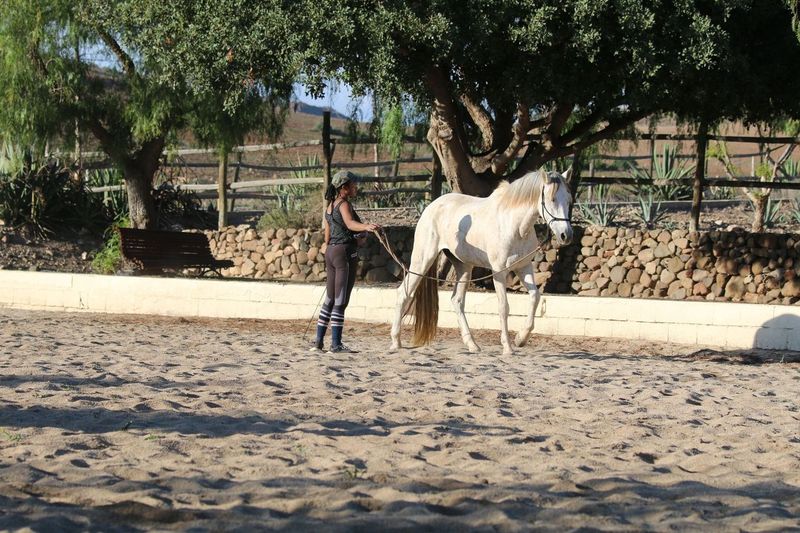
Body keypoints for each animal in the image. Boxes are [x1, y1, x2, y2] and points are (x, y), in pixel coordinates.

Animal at [389, 169, 574, 355]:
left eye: (569, 200)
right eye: (552, 199)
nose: (566, 235)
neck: (514, 226)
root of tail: (431, 207)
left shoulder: (524, 267)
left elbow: (535, 297)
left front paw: (520, 339)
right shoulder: (499, 271)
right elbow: (503, 307)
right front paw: (507, 347)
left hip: (464, 267)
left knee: (457, 301)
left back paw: (472, 344)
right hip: (422, 261)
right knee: (403, 293)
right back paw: (396, 342)